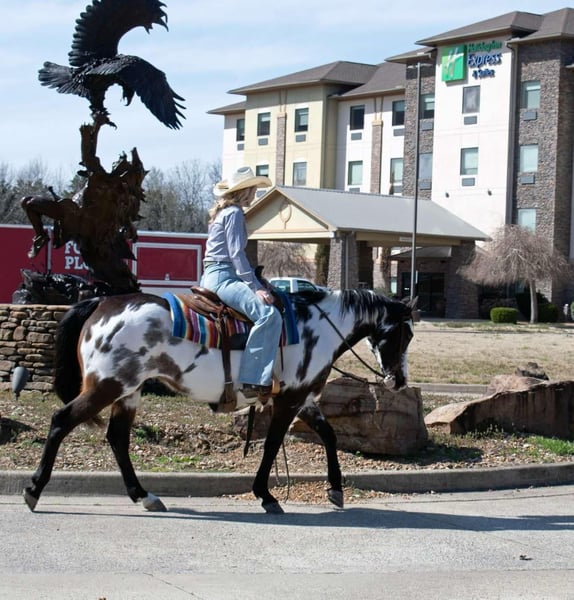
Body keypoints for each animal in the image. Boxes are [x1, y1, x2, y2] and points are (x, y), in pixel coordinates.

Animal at [23, 288, 416, 514]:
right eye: (403, 334)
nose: (398, 380)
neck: (315, 327)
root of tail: (101, 302)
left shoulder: (302, 398)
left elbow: (329, 436)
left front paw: (335, 490)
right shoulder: (289, 400)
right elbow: (272, 444)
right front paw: (266, 495)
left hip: (128, 391)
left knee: (117, 438)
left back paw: (144, 496)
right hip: (107, 386)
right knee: (61, 420)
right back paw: (33, 490)